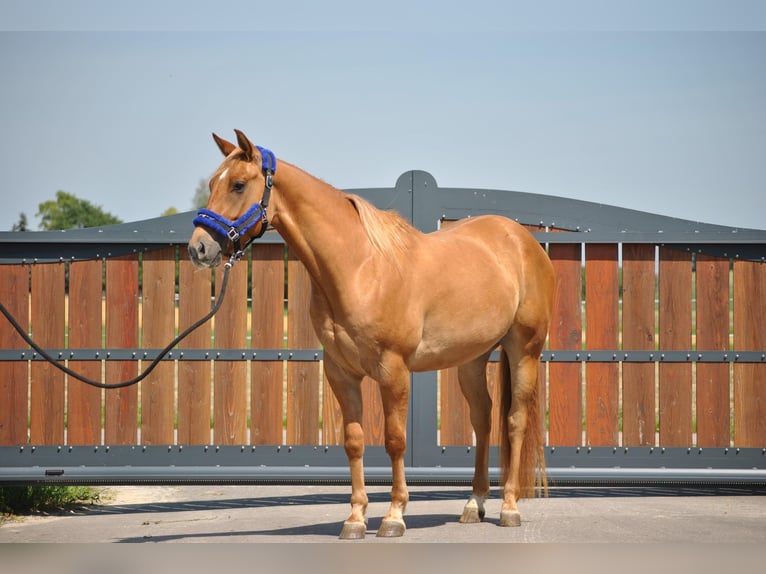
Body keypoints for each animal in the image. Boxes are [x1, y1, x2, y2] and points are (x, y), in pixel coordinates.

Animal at [188, 130, 555, 539]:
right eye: (213, 184)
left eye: (238, 184)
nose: (198, 248)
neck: (360, 268)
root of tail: (521, 239)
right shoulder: (341, 372)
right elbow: (354, 441)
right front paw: (355, 518)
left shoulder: (393, 371)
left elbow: (395, 441)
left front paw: (394, 516)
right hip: (472, 359)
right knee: (483, 419)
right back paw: (473, 504)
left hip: (524, 350)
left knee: (515, 421)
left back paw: (509, 508)